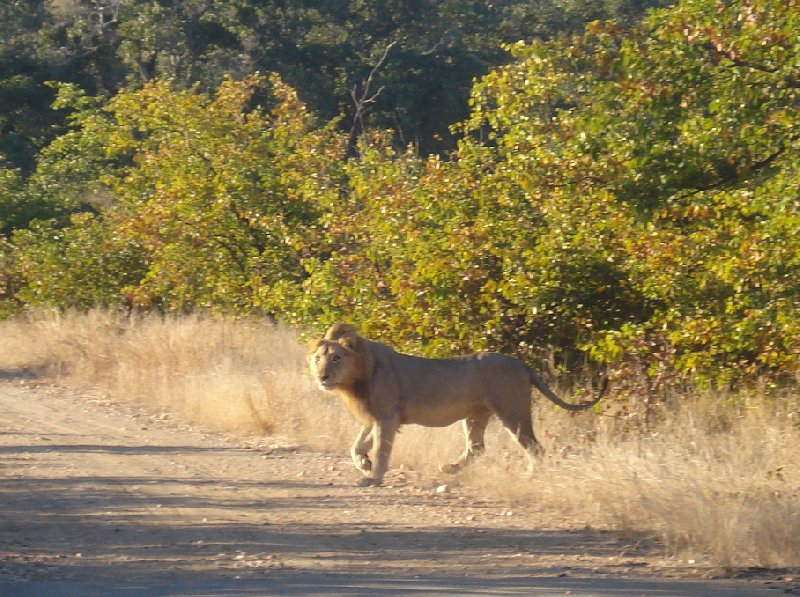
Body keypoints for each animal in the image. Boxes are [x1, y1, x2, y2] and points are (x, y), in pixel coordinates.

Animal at [306, 324, 608, 486]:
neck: (356, 377)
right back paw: (449, 468)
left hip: (512, 411)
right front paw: (364, 464)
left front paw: (373, 476)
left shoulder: (386, 417)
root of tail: (520, 363)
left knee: (534, 447)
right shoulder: (378, 417)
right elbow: (356, 446)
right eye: (318, 358)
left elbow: (381, 450)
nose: (322, 377)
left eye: (336, 359)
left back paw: (530, 476)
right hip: (475, 415)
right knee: (477, 447)